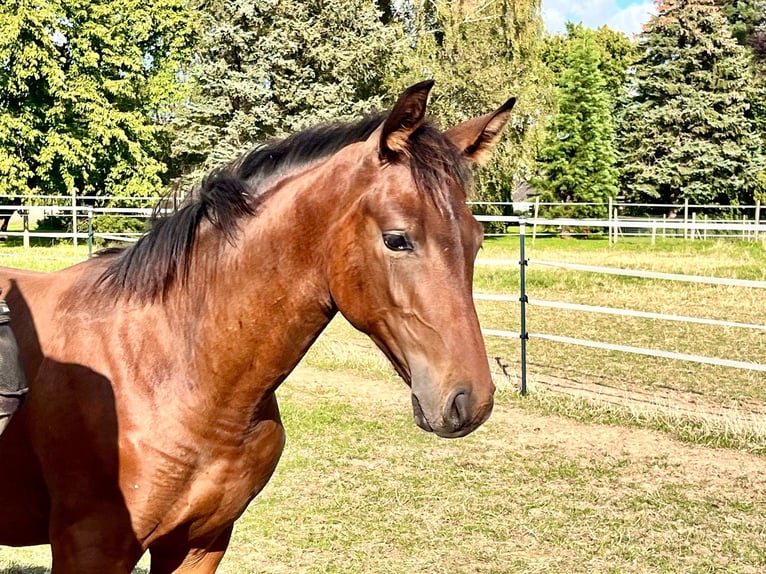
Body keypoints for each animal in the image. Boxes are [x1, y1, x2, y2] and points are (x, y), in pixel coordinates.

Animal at [0, 82, 516, 574]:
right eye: (396, 239)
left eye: (476, 241)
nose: (470, 400)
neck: (167, 365)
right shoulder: (90, 550)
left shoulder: (199, 545)